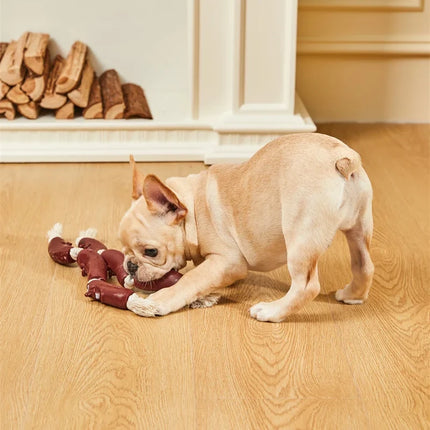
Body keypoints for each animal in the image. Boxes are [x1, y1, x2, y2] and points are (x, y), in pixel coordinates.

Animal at [117, 133, 372, 320]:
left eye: (151, 252)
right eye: (123, 250)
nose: (130, 265)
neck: (192, 209)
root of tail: (341, 157)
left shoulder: (227, 261)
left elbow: (192, 280)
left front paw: (159, 301)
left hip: (300, 237)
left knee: (307, 286)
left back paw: (271, 312)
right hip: (359, 227)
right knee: (364, 265)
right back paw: (352, 295)